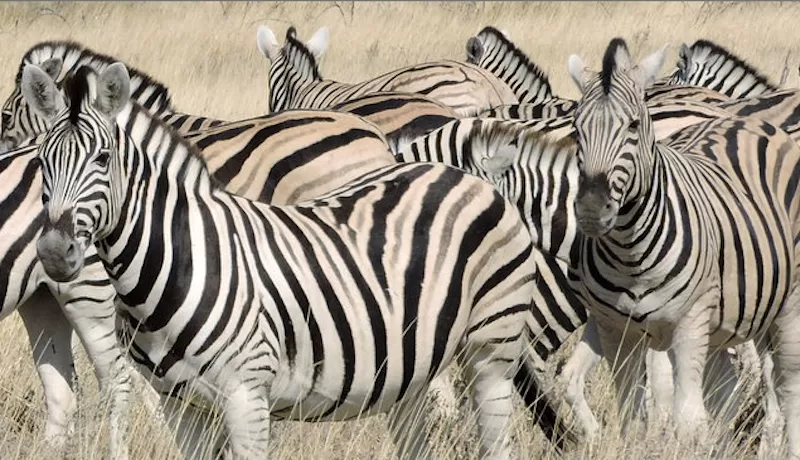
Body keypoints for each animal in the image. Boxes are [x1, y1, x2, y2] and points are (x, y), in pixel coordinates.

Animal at [568, 37, 800, 453]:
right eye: (577, 130)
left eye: (633, 125)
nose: (592, 209)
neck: (631, 256)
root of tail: (739, 119)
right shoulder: (615, 330)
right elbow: (632, 419)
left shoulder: (689, 326)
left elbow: (688, 421)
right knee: (728, 387)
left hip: (787, 307)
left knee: (788, 391)